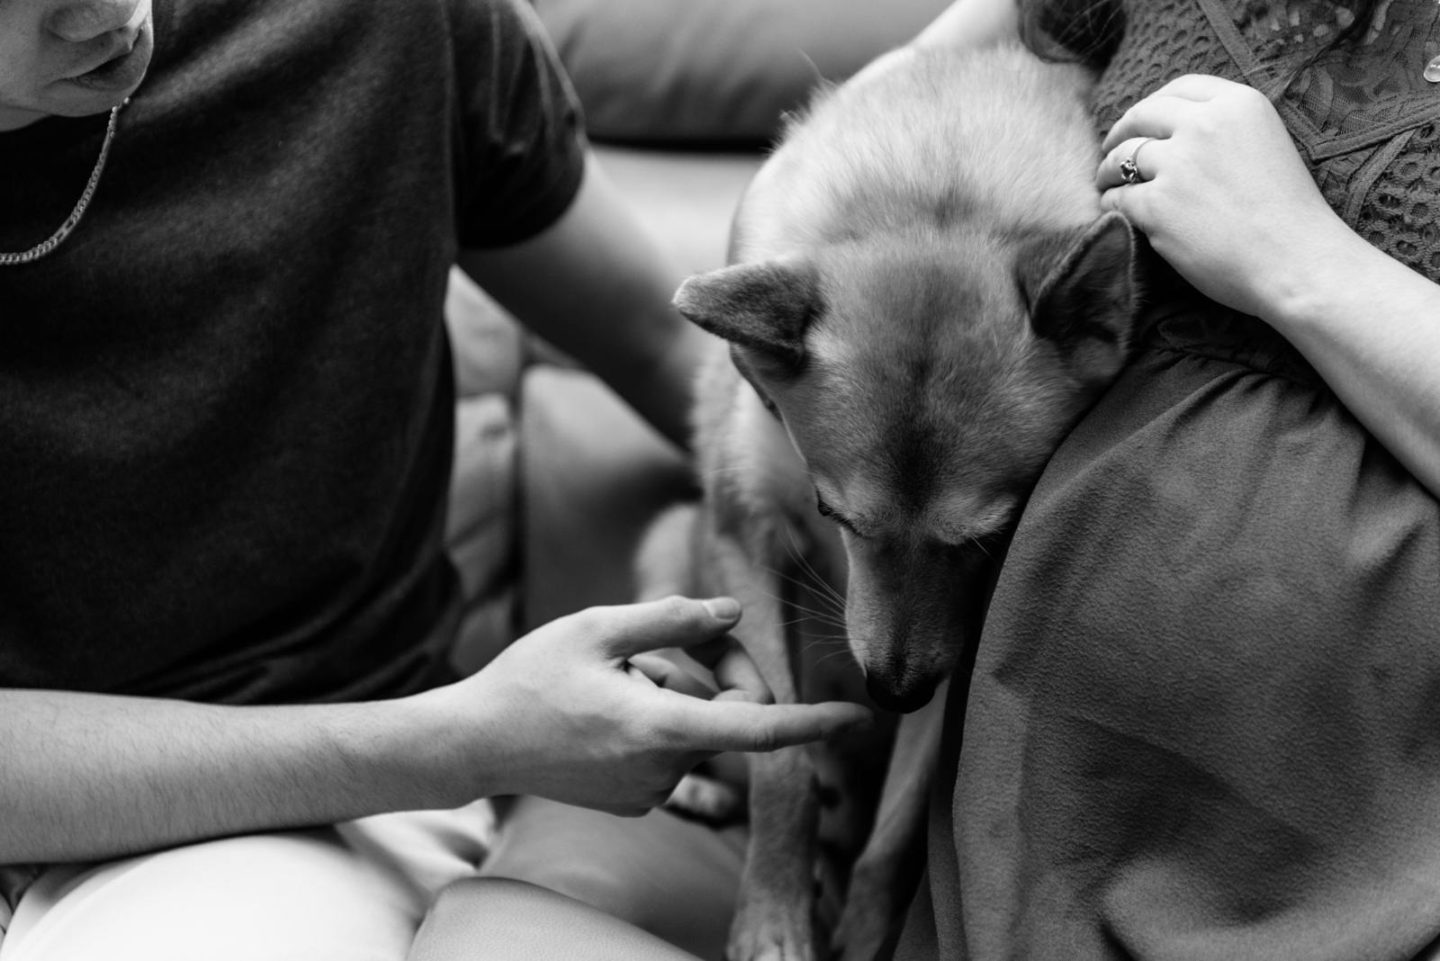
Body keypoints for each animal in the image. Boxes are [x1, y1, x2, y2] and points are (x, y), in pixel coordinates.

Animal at [642, 39, 1134, 961]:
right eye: (836, 518)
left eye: (992, 537)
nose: (893, 692)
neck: (935, 193)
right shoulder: (742, 537)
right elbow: (780, 759)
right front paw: (773, 916)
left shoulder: (952, 653)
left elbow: (900, 827)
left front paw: (867, 931)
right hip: (666, 545)